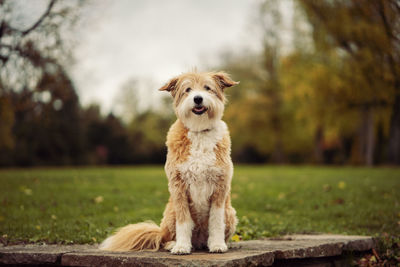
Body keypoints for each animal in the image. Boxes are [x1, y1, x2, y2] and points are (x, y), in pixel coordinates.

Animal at [99, 71, 239, 255]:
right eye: (188, 89)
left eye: (207, 88)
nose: (198, 99)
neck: (199, 131)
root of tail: (199, 242)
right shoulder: (178, 186)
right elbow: (183, 221)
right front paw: (181, 246)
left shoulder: (220, 188)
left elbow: (216, 221)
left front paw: (217, 244)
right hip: (170, 214)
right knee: (165, 238)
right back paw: (173, 243)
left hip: (230, 212)